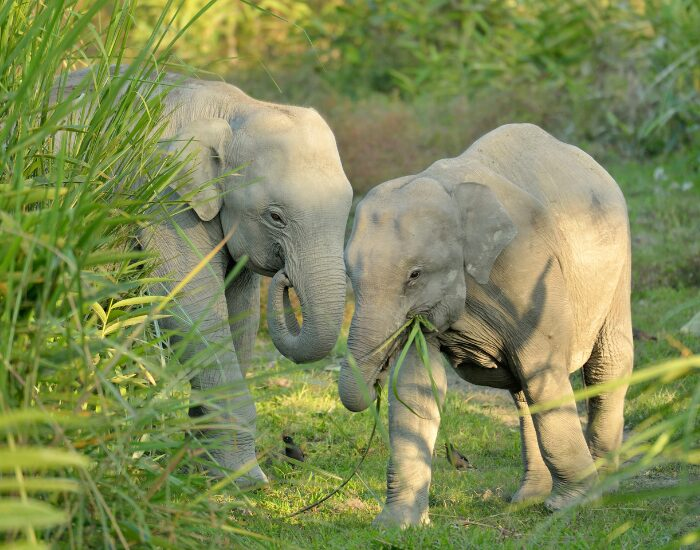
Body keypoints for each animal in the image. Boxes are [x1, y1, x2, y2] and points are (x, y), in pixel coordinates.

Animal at [59, 68, 353, 487]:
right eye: (275, 217)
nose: (284, 278)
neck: (235, 110)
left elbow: (240, 316)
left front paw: (203, 467)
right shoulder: (161, 195)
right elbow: (190, 307)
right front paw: (244, 480)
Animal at [338, 123, 633, 526]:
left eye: (414, 275)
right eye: (349, 275)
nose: (377, 376)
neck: (447, 191)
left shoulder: (527, 268)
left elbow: (543, 371)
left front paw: (571, 506)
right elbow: (417, 386)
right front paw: (398, 525)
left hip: (617, 269)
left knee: (605, 366)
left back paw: (603, 486)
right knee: (523, 392)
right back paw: (526, 498)